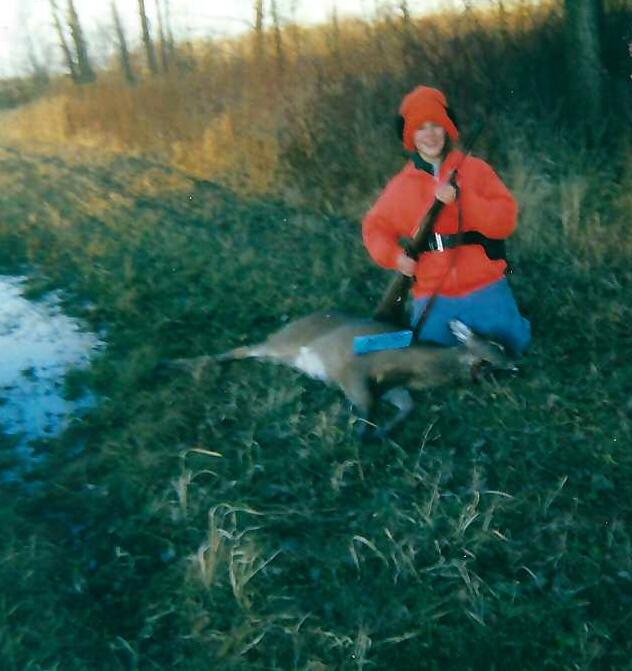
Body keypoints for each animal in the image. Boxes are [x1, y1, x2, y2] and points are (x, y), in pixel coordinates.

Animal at [165, 311, 518, 440]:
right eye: (497, 345)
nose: (516, 363)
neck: (417, 365)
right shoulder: (351, 370)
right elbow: (366, 406)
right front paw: (360, 433)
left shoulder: (392, 388)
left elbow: (406, 407)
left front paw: (381, 431)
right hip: (283, 343)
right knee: (242, 349)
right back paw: (178, 364)